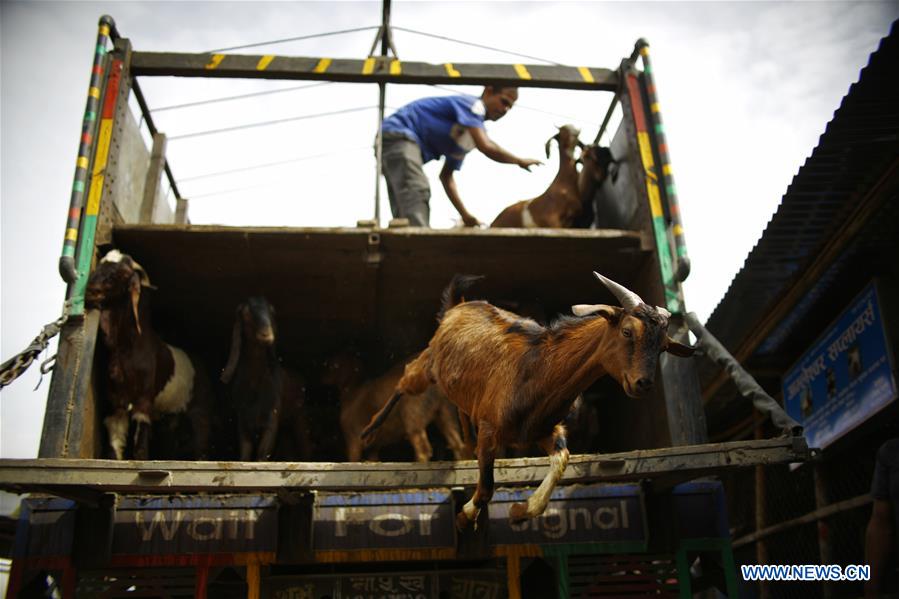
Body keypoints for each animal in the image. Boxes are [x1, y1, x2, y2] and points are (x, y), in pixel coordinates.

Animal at [87, 251, 215, 462]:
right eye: (100, 264)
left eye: (123, 273)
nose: (91, 290)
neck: (129, 346)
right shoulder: (116, 401)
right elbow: (115, 444)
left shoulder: (144, 399)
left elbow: (140, 446)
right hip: (172, 415)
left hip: (200, 410)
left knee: (201, 442)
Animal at [221, 298, 312, 462]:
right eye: (246, 314)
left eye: (271, 312)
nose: (267, 335)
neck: (255, 384)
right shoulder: (243, 419)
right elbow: (245, 452)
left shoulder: (272, 418)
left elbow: (263, 453)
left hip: (301, 416)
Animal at [324, 352, 472, 464]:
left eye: (332, 365)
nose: (322, 377)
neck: (353, 390)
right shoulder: (373, 447)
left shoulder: (353, 440)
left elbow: (353, 460)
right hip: (445, 415)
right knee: (457, 444)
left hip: (413, 418)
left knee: (423, 450)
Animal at [362, 272, 692, 528]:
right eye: (626, 331)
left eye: (663, 346)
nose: (643, 383)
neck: (539, 370)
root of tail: (460, 303)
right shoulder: (490, 430)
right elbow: (486, 488)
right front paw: (465, 517)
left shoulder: (543, 430)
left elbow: (561, 459)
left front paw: (521, 511)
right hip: (428, 363)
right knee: (404, 380)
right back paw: (369, 430)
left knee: (459, 411)